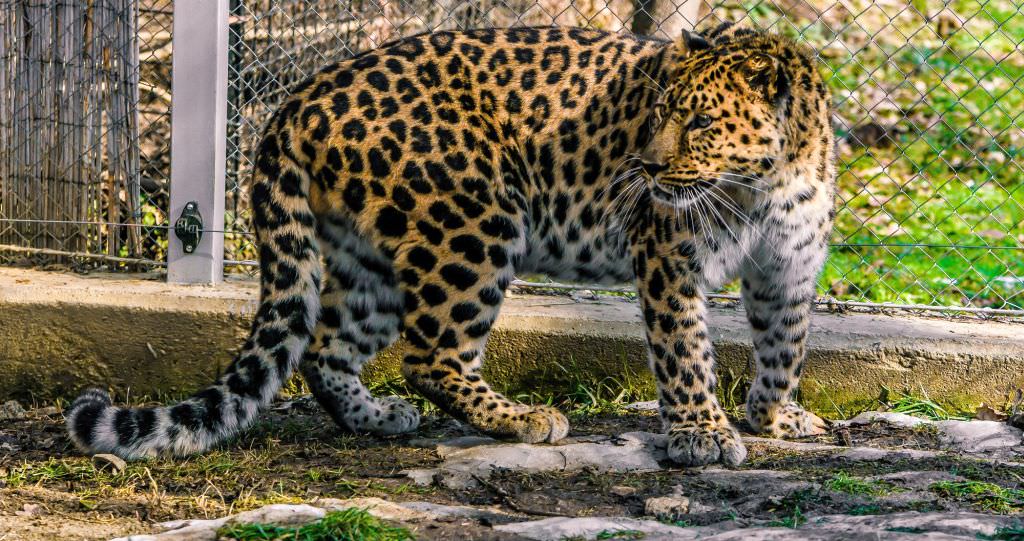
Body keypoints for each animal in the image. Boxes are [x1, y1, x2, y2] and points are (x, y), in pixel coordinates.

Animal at [64, 21, 835, 467]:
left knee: (326, 345)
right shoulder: (671, 257)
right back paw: (523, 419)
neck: (768, 179)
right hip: (474, 223)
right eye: (657, 114)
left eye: (699, 122)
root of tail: (300, 96)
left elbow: (785, 343)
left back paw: (377, 418)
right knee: (428, 355)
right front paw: (702, 432)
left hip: (369, 254)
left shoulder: (789, 267)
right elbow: (686, 352)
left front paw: (777, 415)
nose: (643, 167)